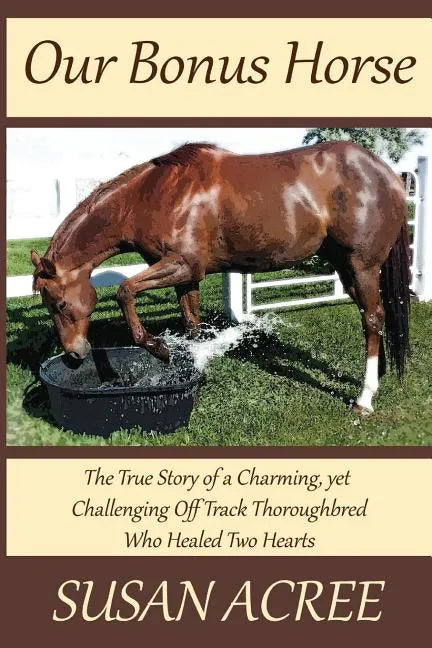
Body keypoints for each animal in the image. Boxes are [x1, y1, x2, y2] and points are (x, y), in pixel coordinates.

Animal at [31, 140, 410, 413]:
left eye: (59, 303)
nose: (74, 355)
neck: (152, 196)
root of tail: (390, 175)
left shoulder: (183, 265)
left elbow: (125, 290)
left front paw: (159, 350)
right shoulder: (185, 277)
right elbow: (192, 326)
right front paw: (189, 373)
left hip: (362, 266)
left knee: (373, 318)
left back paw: (365, 398)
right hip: (346, 267)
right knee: (372, 316)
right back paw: (378, 375)